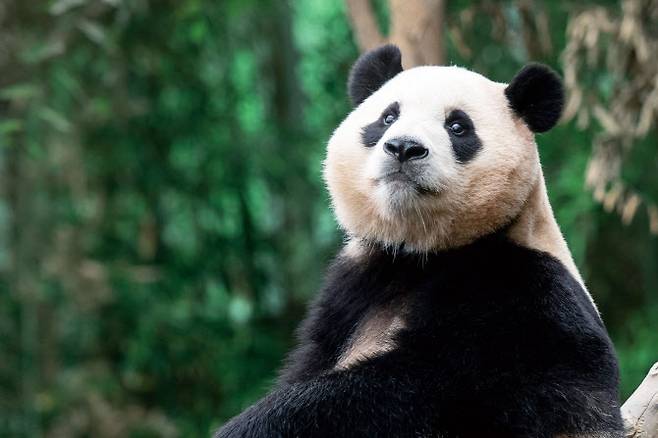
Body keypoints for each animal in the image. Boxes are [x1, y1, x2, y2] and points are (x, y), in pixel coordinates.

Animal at [218, 45, 624, 438]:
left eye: (457, 126)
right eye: (387, 117)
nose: (403, 148)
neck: (423, 251)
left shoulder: (528, 295)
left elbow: (419, 388)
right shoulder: (353, 286)